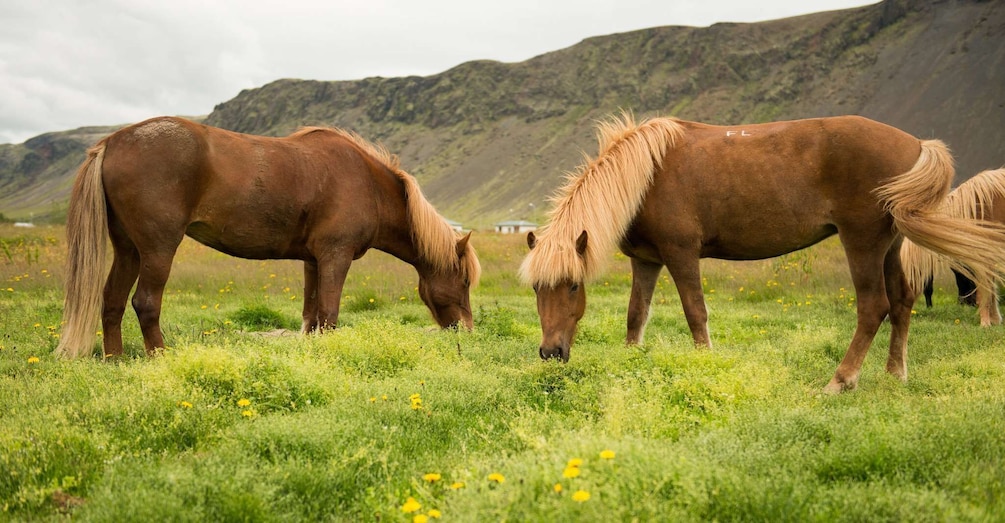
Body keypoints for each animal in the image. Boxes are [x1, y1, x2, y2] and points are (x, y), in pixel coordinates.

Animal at [57, 116, 480, 358]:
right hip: (158, 249)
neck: (368, 183)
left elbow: (312, 315)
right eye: (463, 281)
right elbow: (329, 314)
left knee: (111, 301)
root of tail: (112, 142)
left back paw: (115, 359)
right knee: (144, 303)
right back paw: (160, 356)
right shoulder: (335, 256)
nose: (468, 332)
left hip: (128, 249)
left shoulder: (313, 261)